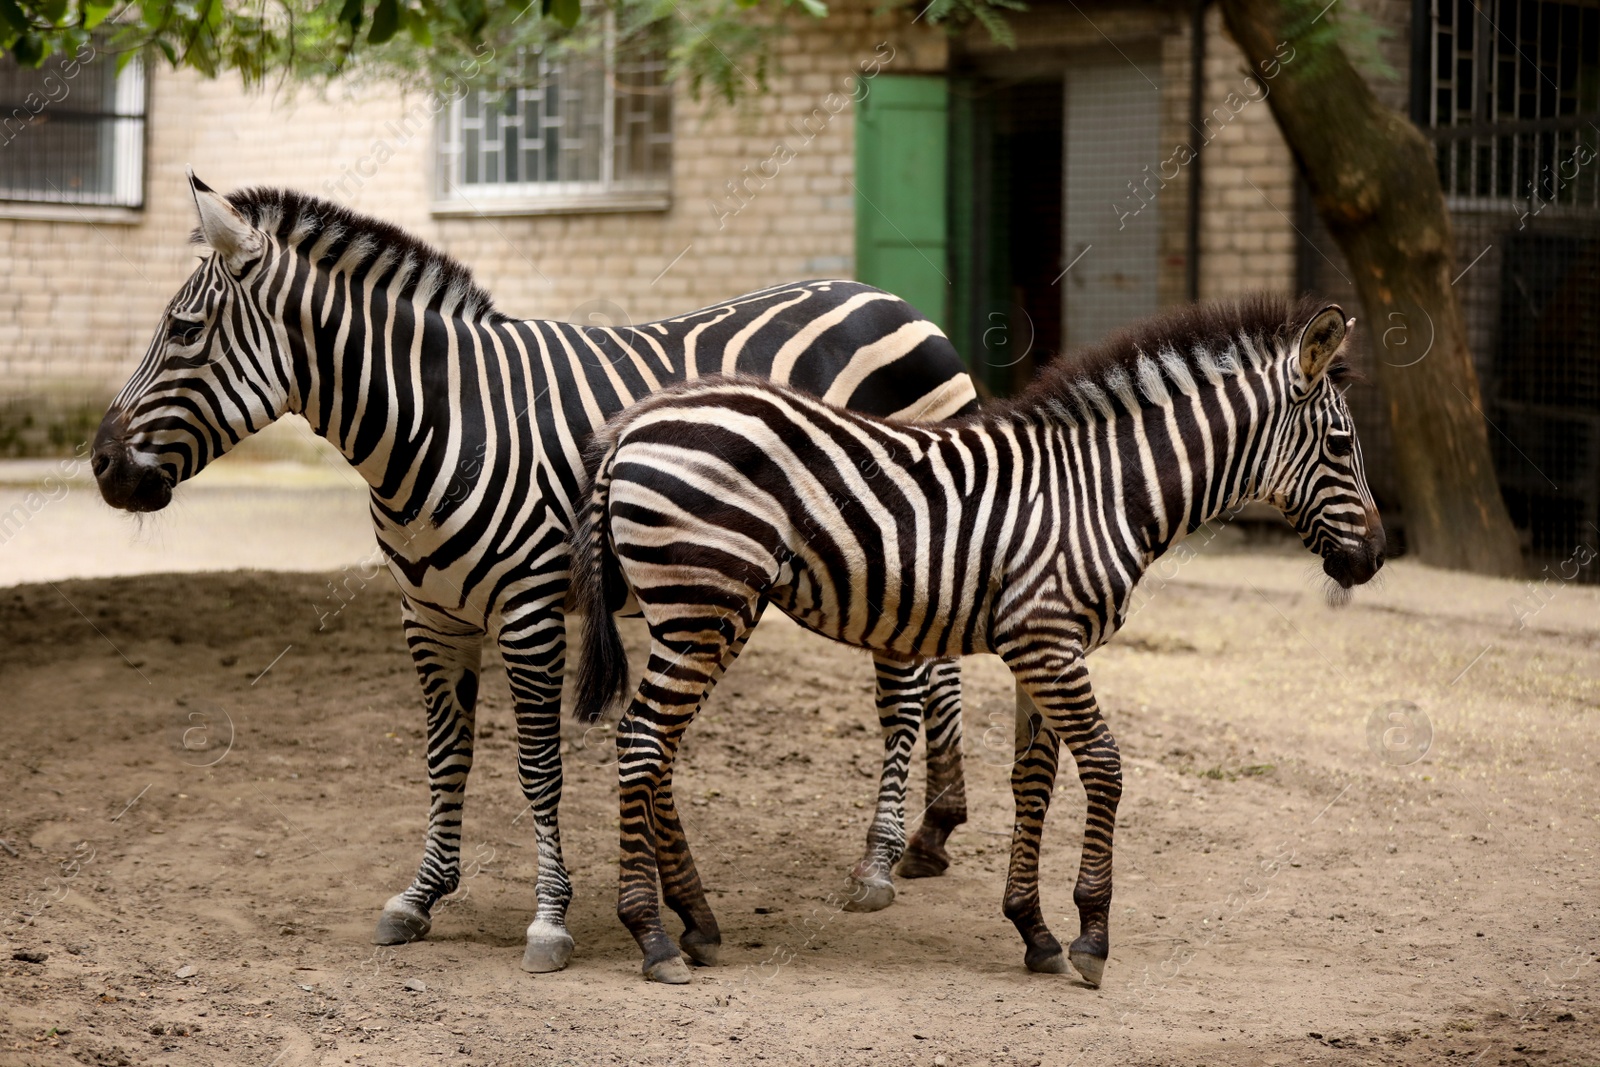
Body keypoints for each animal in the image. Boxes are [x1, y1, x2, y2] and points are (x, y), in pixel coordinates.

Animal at [96, 173, 985, 979]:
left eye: (181, 330)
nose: (101, 465)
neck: (436, 423)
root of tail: (891, 299)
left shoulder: (527, 612)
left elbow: (536, 768)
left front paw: (550, 918)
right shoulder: (430, 616)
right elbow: (444, 757)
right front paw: (422, 895)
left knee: (903, 692)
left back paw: (876, 863)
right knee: (932, 672)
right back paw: (930, 832)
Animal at [569, 289, 1382, 985]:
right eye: (1342, 444)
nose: (1374, 559)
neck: (1104, 492)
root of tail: (632, 427)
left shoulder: (1042, 644)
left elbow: (1034, 779)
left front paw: (1034, 930)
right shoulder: (1049, 639)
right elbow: (1106, 766)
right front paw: (1091, 935)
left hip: (705, 610)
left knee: (654, 745)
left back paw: (698, 921)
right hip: (702, 600)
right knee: (643, 742)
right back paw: (652, 935)